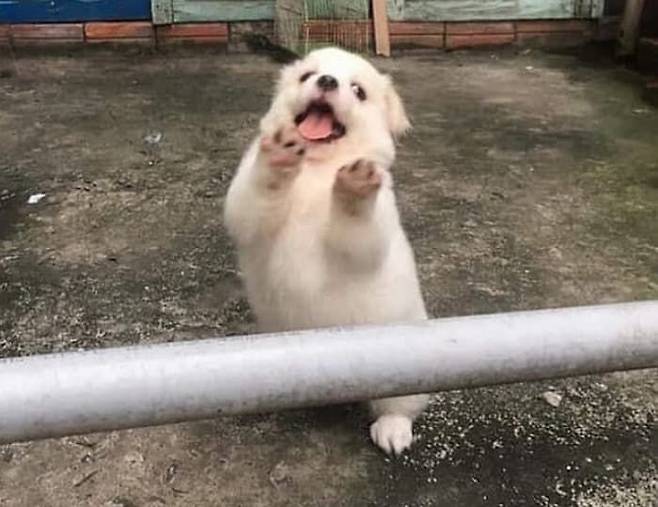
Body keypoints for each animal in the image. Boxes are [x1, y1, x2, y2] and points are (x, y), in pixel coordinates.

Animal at [224, 47, 428, 455]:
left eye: (358, 91)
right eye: (308, 76)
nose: (327, 81)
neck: (316, 168)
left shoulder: (366, 237)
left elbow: (355, 221)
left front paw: (354, 184)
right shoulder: (245, 211)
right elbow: (256, 193)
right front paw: (279, 156)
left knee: (400, 405)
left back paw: (393, 430)